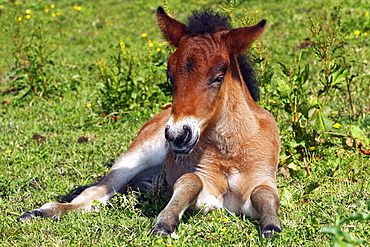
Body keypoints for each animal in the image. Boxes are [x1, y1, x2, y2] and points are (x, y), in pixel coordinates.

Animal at [18, 6, 280, 238]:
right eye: (170, 75)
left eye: (218, 77)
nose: (177, 135)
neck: (228, 150)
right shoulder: (207, 194)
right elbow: (189, 181)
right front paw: (165, 223)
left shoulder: (262, 180)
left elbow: (265, 195)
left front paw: (271, 226)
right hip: (136, 156)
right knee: (97, 192)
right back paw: (40, 212)